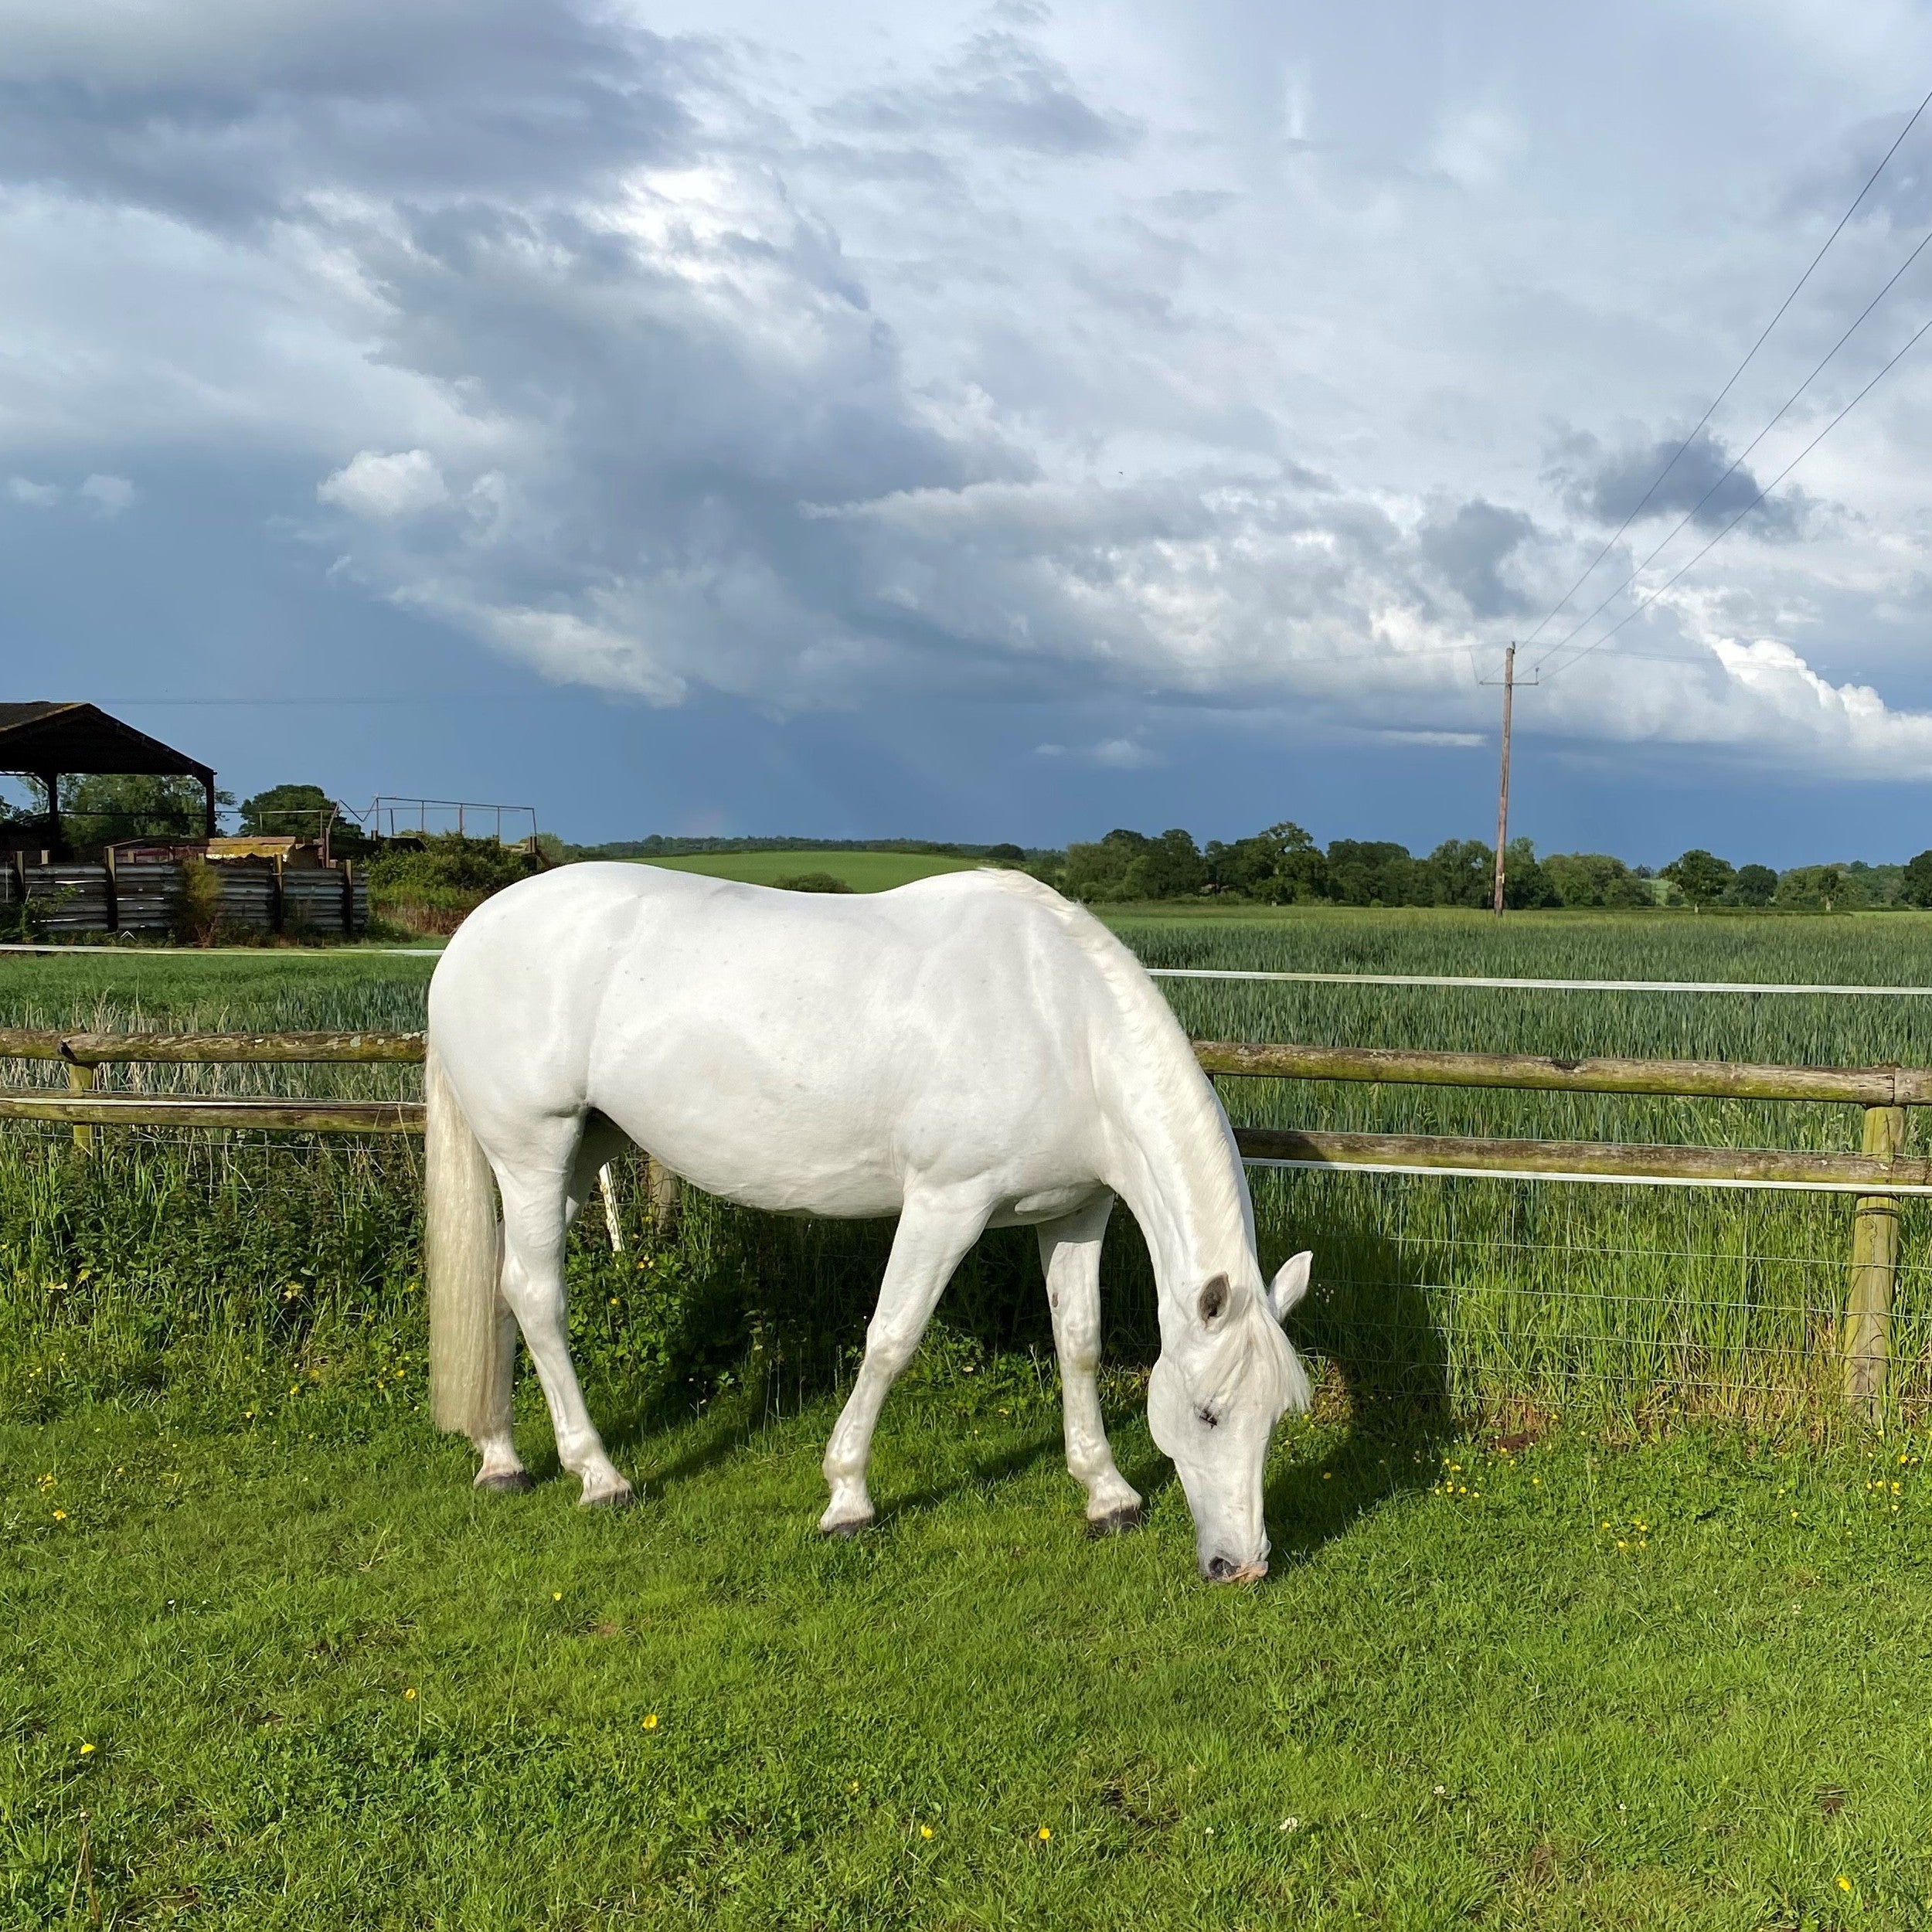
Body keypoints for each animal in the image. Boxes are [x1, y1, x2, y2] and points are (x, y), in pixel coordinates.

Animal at [423, 863, 1313, 1582]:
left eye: (1276, 1416)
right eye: (1208, 1414)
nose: (1242, 1566)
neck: (1062, 1021)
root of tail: (472, 933)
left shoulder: (1074, 1211)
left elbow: (1080, 1345)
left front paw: (1108, 1495)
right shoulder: (946, 1205)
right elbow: (891, 1339)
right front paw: (847, 1500)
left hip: (580, 1154)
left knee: (503, 1286)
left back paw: (501, 1459)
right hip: (534, 1151)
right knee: (539, 1296)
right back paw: (600, 1476)